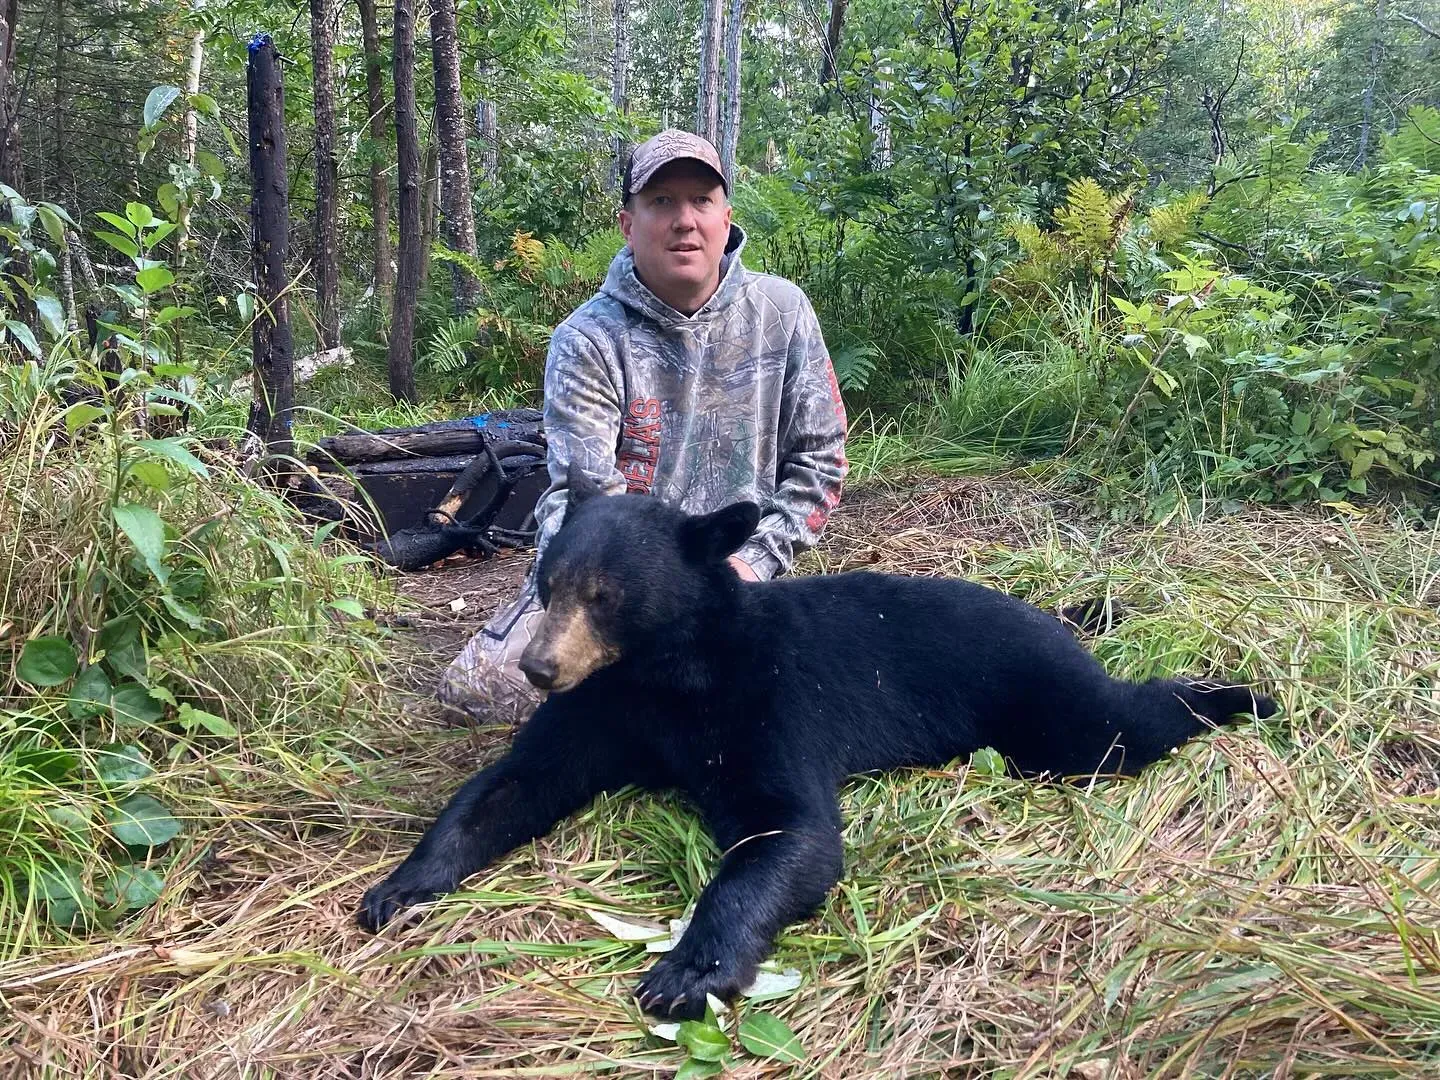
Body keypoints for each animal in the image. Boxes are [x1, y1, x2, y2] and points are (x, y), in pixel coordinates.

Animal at [359, 468, 1276, 1019]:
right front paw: (397, 888)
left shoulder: (766, 700)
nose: (540, 666)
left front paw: (687, 971)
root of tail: (1043, 612)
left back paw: (1242, 693)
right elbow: (514, 784)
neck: (663, 674)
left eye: (607, 594)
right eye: (548, 584)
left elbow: (787, 829)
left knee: (1114, 725)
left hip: (1033, 689)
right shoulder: (602, 709)